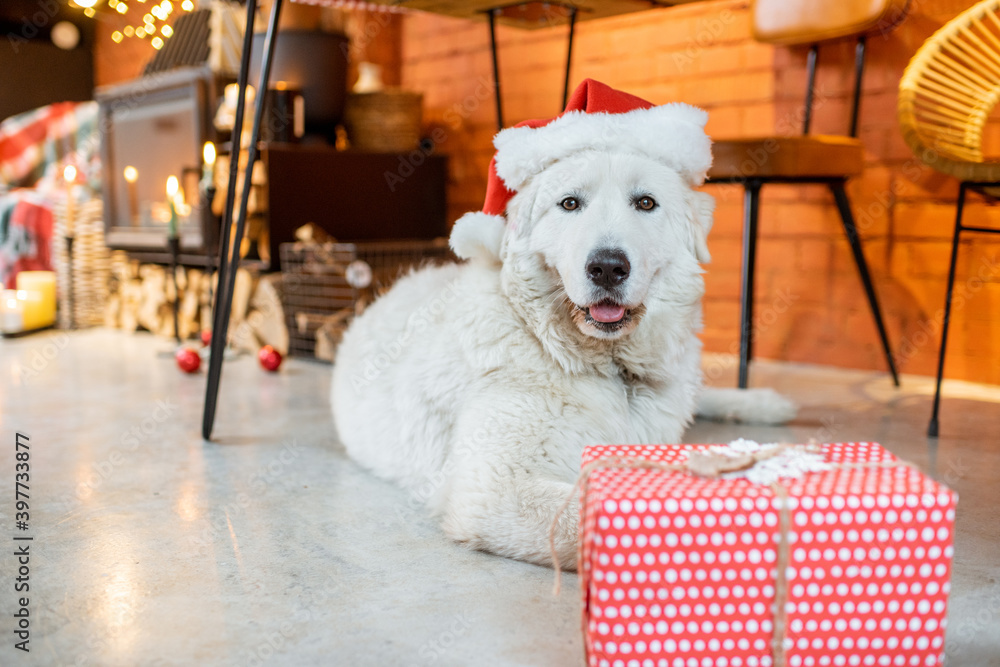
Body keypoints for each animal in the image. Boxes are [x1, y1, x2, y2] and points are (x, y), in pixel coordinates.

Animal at [332, 78, 792, 568]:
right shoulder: (495, 487)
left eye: (645, 202)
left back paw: (765, 403)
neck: (608, 370)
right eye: (570, 203)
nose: (607, 267)